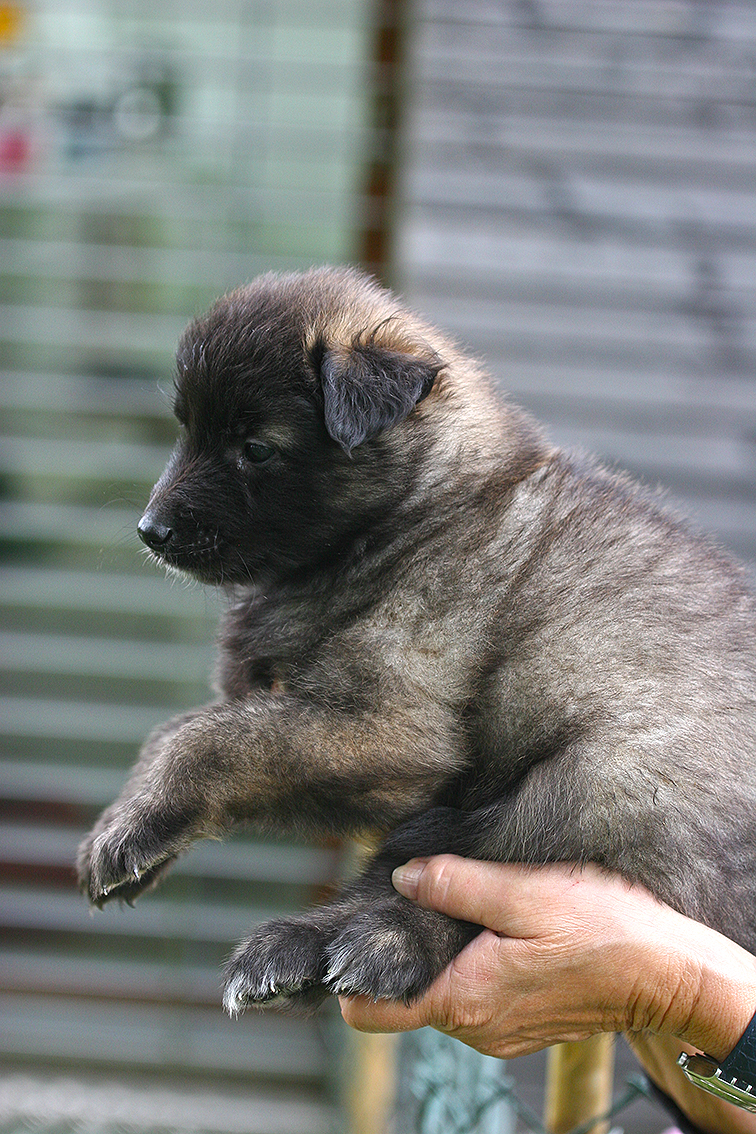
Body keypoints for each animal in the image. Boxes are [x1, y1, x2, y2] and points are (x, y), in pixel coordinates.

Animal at [78, 267, 756, 1020]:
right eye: (185, 428)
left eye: (255, 448)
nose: (151, 530)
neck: (414, 511)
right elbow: (192, 731)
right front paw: (132, 826)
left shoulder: (393, 729)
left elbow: (202, 739)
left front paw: (130, 828)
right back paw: (292, 953)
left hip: (600, 781)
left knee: (459, 875)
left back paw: (377, 944)